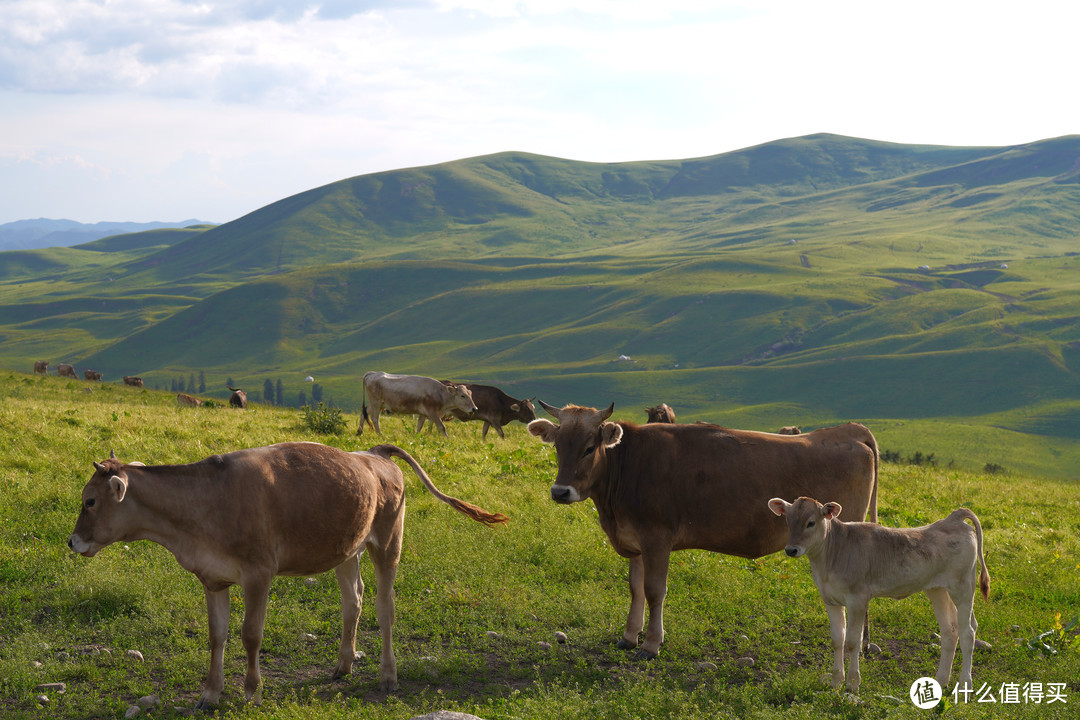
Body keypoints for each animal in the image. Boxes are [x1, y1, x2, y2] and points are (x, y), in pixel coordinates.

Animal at [70, 444, 509, 708]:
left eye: (90, 501)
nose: (73, 542)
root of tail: (373, 453)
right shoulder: (213, 577)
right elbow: (217, 635)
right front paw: (210, 693)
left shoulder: (258, 573)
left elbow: (250, 634)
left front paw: (251, 691)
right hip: (346, 548)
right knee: (353, 600)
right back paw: (343, 664)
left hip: (388, 542)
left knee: (385, 608)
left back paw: (388, 676)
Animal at [529, 403, 876, 660]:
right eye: (557, 446)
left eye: (590, 448)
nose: (560, 492)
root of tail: (850, 429)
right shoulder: (635, 540)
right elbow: (635, 588)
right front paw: (629, 636)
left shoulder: (656, 538)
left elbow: (655, 590)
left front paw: (651, 644)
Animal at [768, 498, 989, 695]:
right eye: (788, 520)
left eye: (811, 522)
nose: (791, 549)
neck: (831, 555)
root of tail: (953, 518)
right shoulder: (830, 600)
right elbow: (837, 640)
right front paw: (836, 681)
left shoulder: (857, 599)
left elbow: (852, 642)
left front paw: (852, 684)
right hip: (938, 590)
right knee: (950, 631)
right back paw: (941, 680)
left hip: (963, 588)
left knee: (968, 633)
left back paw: (965, 684)